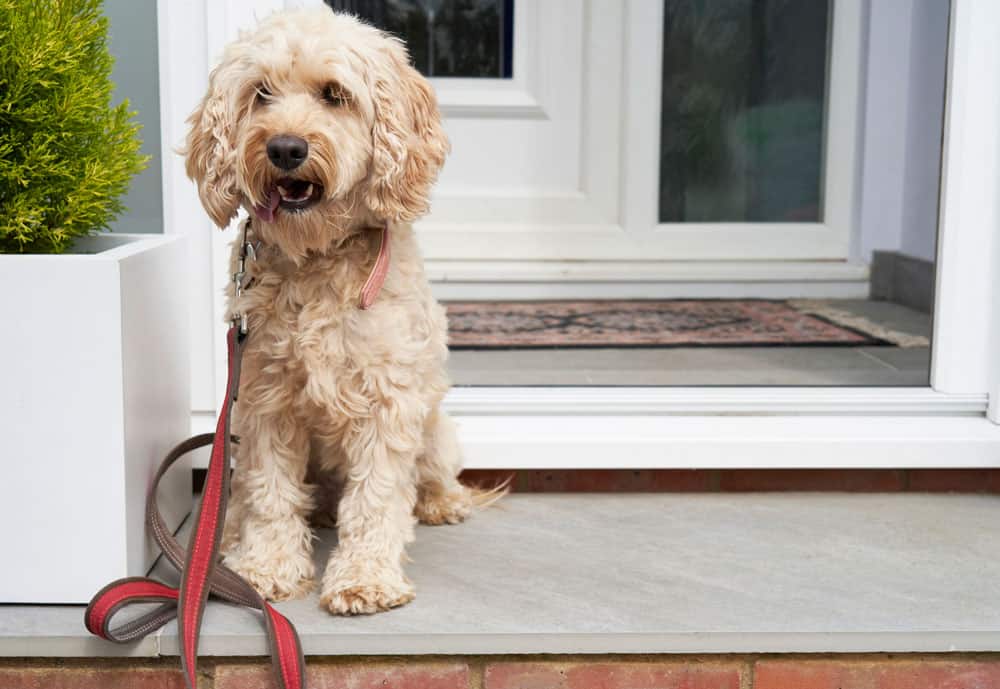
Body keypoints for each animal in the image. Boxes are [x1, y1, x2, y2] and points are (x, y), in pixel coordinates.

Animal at [183, 9, 492, 612]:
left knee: (430, 475)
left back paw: (442, 501)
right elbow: (271, 491)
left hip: (435, 429)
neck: (316, 259)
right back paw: (231, 536)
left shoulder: (387, 401)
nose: (284, 148)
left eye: (334, 94)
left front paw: (364, 578)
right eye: (261, 93)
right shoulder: (265, 398)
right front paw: (267, 567)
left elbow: (376, 497)